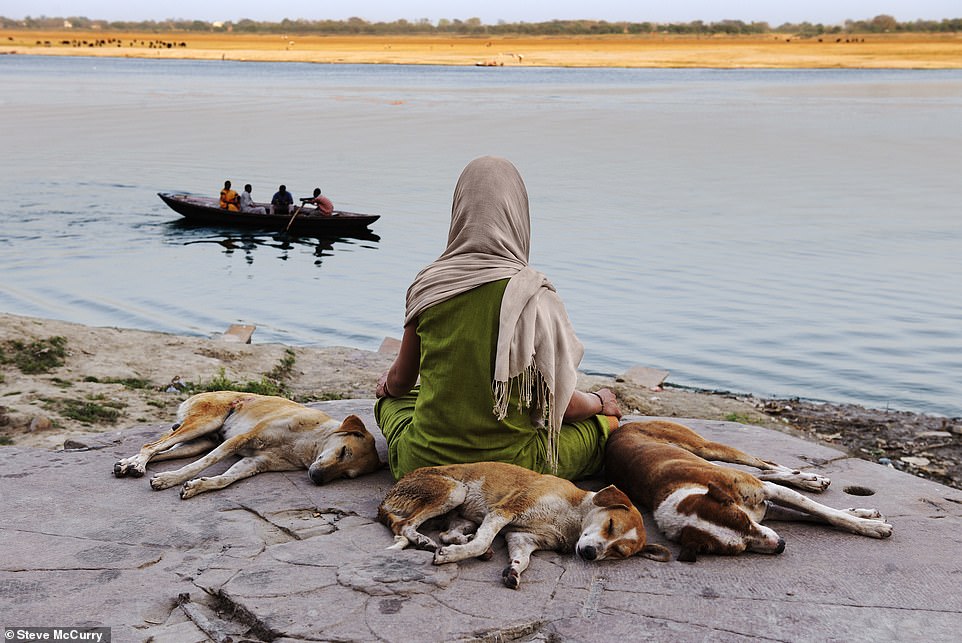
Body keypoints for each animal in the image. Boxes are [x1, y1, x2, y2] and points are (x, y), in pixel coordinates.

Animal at [114, 390, 380, 500]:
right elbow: (202, 464)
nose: (317, 478)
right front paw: (170, 479)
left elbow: (225, 479)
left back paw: (127, 464)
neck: (308, 444)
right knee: (151, 446)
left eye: (346, 476)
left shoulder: (256, 462)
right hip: (204, 423)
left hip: (201, 441)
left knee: (159, 451)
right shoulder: (240, 439)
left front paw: (198, 486)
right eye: (344, 451)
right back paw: (138, 464)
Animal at [376, 460, 668, 592]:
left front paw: (513, 571)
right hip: (454, 490)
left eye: (618, 552)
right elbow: (483, 539)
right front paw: (451, 557)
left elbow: (522, 559)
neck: (573, 517)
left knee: (448, 532)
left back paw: (466, 544)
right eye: (610, 524)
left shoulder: (522, 537)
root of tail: (389, 494)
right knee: (405, 525)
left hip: (463, 513)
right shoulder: (505, 510)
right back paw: (424, 540)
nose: (589, 554)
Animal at [600, 420, 892, 560]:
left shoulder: (767, 495)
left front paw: (868, 525)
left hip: (707, 447)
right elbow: (817, 516)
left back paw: (808, 478)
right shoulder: (767, 512)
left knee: (764, 463)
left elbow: (827, 513)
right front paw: (863, 515)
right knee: (766, 470)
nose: (781, 546)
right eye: (738, 548)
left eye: (743, 522)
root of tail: (622, 427)